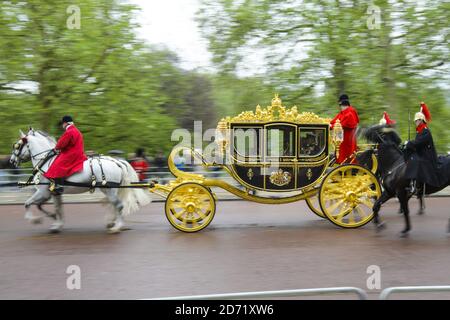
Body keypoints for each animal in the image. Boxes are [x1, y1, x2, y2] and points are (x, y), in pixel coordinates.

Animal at [9, 129, 151, 234]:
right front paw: (57, 224)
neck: (47, 162)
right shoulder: (54, 193)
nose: (11, 161)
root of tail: (117, 161)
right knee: (113, 205)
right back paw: (112, 222)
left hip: (110, 189)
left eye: (17, 145)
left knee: (118, 205)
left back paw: (116, 227)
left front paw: (35, 220)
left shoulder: (43, 192)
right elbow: (57, 208)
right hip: (107, 189)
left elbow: (28, 204)